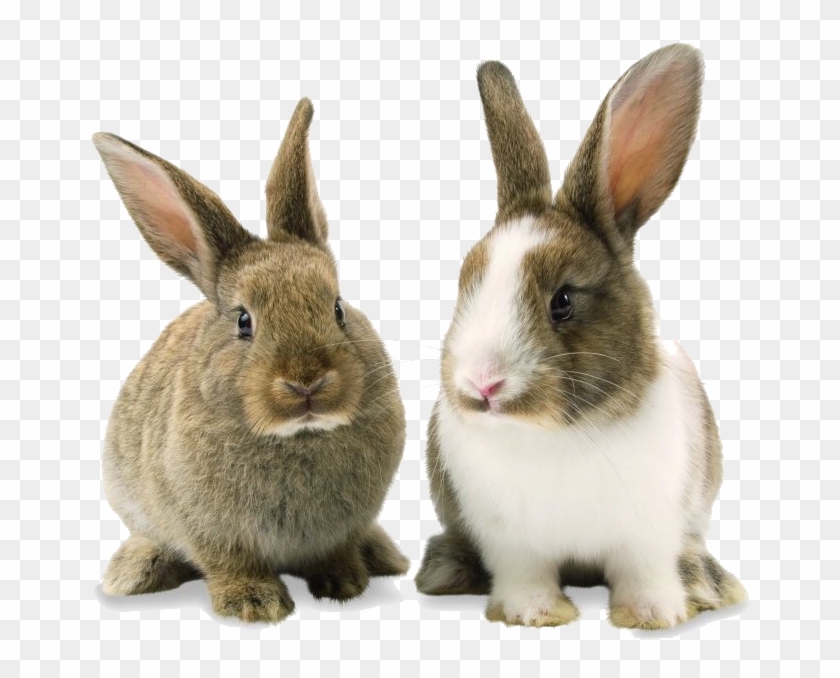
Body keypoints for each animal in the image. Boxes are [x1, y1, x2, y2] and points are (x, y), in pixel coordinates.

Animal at [93, 98, 408, 624]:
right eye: (244, 321)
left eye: (338, 308)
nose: (306, 382)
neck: (298, 436)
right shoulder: (210, 529)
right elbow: (229, 562)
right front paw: (256, 604)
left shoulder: (343, 527)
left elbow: (337, 551)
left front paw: (344, 584)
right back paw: (134, 573)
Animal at [415, 44, 747, 629]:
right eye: (465, 282)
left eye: (563, 301)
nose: (482, 385)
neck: (554, 436)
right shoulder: (510, 543)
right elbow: (525, 576)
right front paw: (534, 614)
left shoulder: (649, 531)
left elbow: (645, 571)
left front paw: (654, 615)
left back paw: (706, 584)